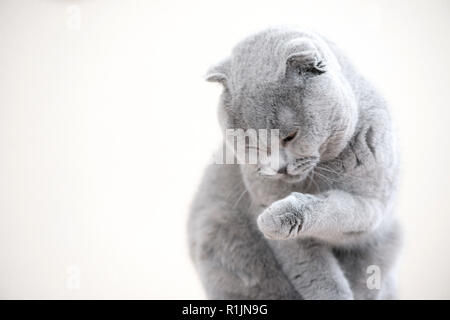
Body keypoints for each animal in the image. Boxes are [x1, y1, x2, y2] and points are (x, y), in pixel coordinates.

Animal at [186, 27, 400, 300]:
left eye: (290, 136)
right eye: (251, 144)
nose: (278, 168)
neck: (321, 173)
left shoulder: (373, 203)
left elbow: (340, 208)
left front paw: (278, 217)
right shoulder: (268, 204)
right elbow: (315, 273)